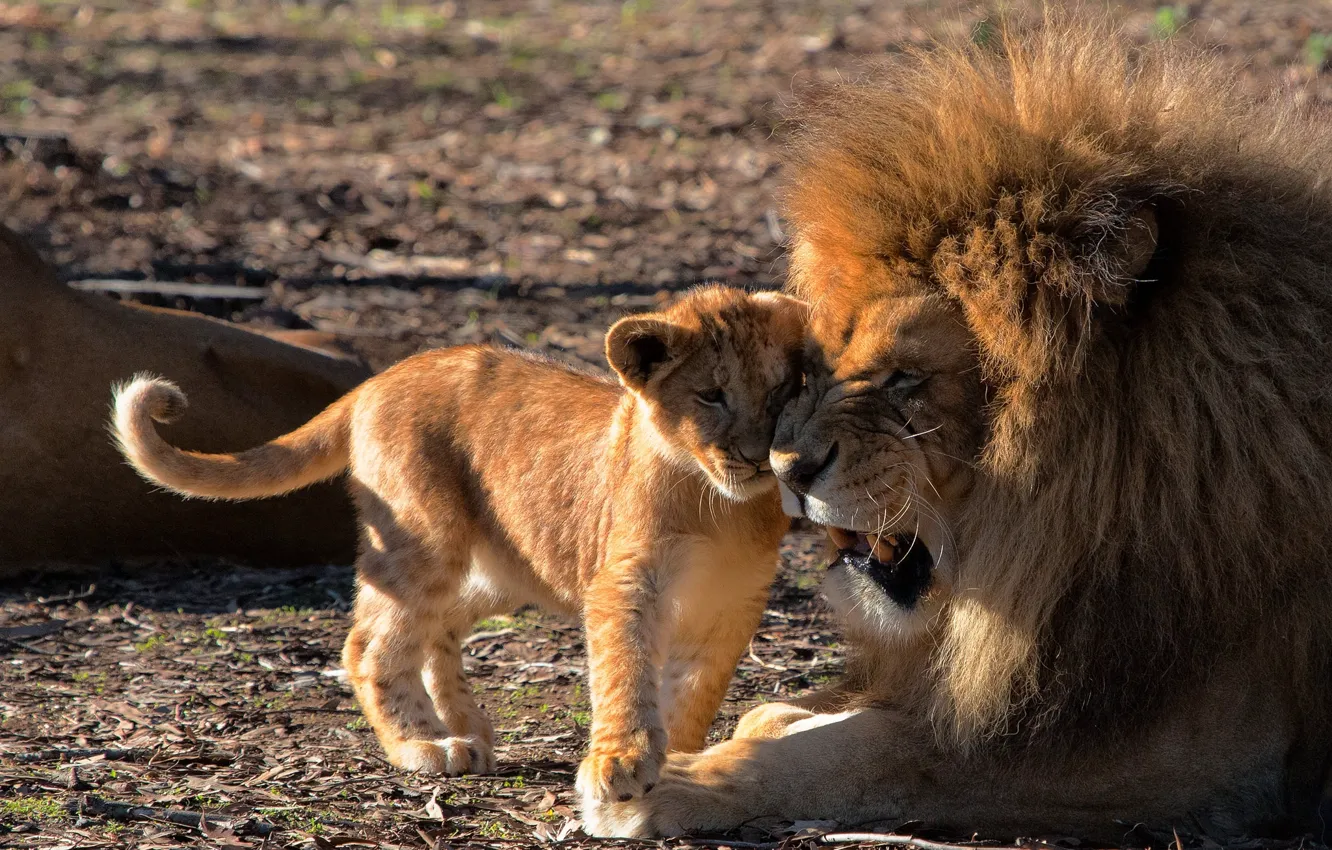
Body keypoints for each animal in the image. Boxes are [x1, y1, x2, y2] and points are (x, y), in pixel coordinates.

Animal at [110, 285, 806, 797]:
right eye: (710, 395)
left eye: (781, 391)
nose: (755, 455)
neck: (721, 506)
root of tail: (379, 378)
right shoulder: (626, 579)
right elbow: (625, 671)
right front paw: (620, 761)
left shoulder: (737, 600)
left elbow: (694, 690)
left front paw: (682, 758)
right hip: (423, 538)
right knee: (371, 644)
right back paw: (426, 745)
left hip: (501, 566)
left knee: (437, 628)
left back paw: (467, 727)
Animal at [584, 19, 1332, 841]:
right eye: (816, 365)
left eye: (905, 377)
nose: (786, 468)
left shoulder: (1203, 753)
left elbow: (874, 750)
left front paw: (670, 783)